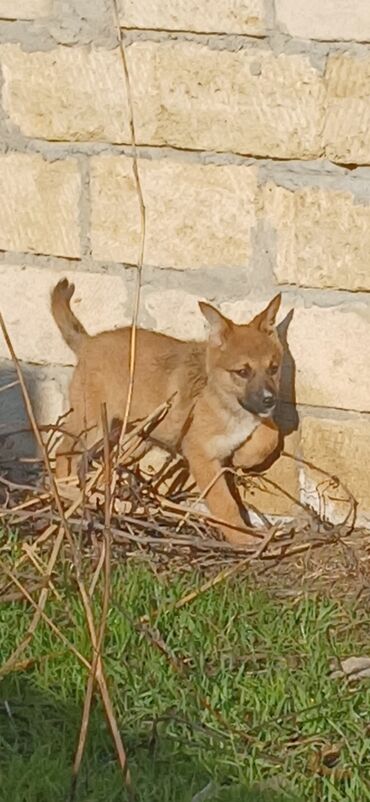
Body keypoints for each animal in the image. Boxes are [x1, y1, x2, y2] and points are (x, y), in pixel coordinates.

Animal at [50, 278, 284, 548]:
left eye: (274, 368)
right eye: (243, 372)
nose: (270, 401)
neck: (223, 402)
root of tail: (87, 343)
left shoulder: (257, 419)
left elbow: (271, 434)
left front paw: (243, 457)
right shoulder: (201, 457)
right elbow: (224, 503)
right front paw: (242, 536)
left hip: (130, 436)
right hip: (93, 424)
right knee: (64, 451)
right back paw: (65, 494)